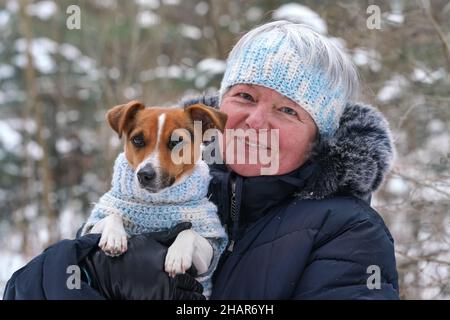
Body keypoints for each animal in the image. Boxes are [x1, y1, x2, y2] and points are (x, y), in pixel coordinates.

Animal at [81, 100, 229, 298]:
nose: (145, 174)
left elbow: (189, 232)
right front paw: (114, 236)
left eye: (176, 142)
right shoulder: (90, 228)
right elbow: (112, 215)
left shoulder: (209, 253)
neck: (155, 201)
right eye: (137, 140)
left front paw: (177, 255)